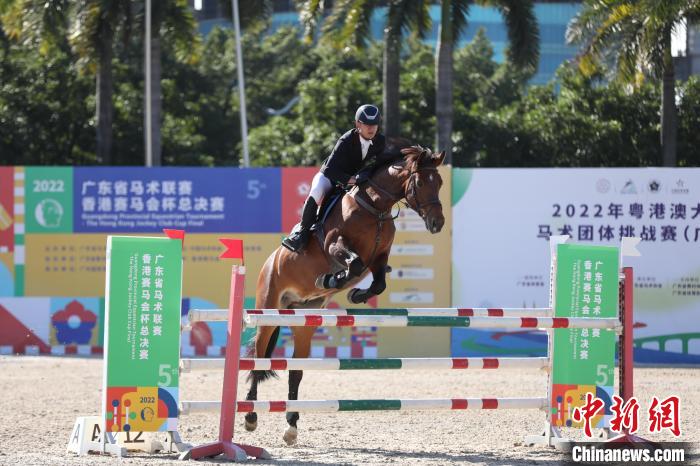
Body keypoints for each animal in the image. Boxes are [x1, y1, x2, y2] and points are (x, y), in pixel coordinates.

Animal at [245, 144, 446, 445]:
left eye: (440, 183)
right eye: (421, 183)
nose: (437, 223)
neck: (375, 208)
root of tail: (270, 262)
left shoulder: (379, 256)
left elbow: (377, 282)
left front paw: (356, 295)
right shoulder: (335, 245)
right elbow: (354, 265)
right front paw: (331, 278)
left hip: (304, 322)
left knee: (295, 372)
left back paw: (291, 426)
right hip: (267, 312)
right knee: (258, 360)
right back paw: (250, 416)